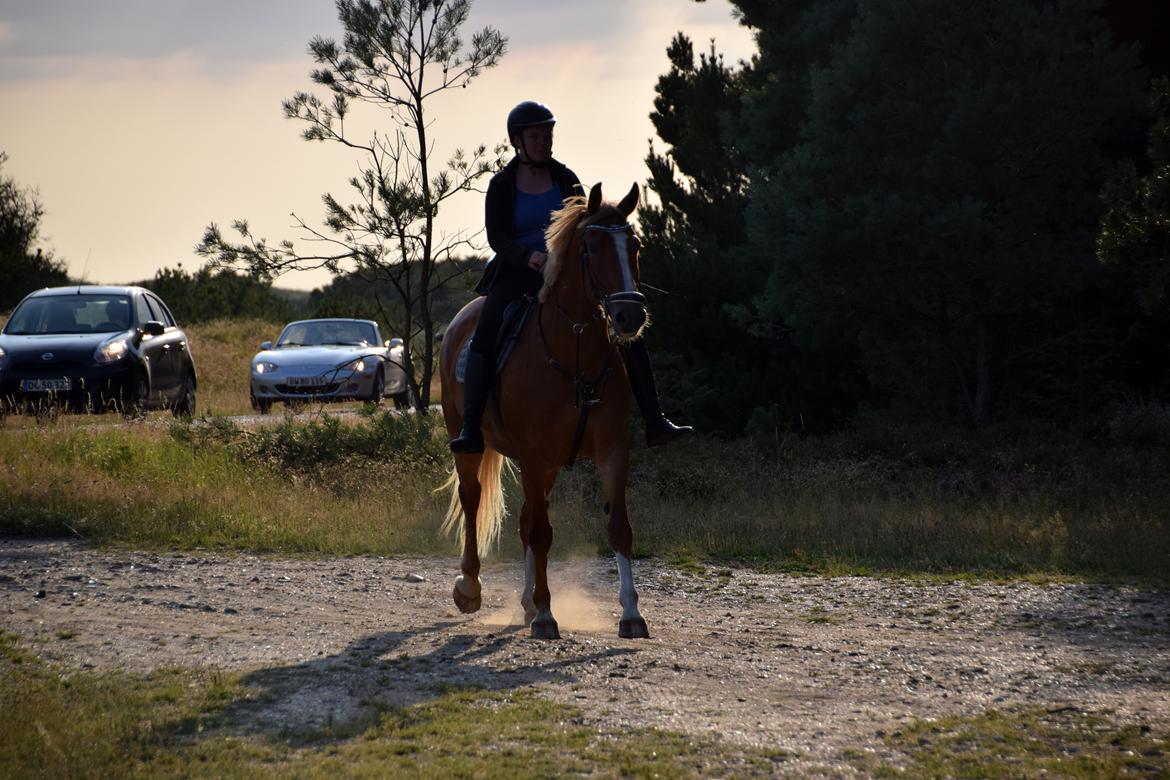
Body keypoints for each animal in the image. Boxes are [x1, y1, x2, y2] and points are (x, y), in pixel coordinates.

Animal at [442, 184, 655, 640]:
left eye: (635, 245)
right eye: (593, 246)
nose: (630, 314)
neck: (572, 351)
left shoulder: (610, 451)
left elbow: (619, 528)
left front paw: (631, 614)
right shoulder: (534, 455)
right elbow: (541, 533)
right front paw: (545, 615)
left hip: (549, 464)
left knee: (524, 518)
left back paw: (524, 602)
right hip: (471, 443)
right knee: (473, 499)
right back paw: (470, 589)